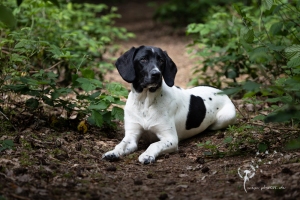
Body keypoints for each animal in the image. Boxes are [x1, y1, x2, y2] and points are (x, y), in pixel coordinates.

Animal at [103, 45, 237, 164]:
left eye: (161, 60)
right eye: (143, 59)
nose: (156, 74)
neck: (145, 103)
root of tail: (222, 91)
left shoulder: (170, 139)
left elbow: (154, 144)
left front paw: (147, 155)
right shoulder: (131, 136)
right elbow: (121, 145)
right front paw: (112, 152)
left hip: (225, 118)